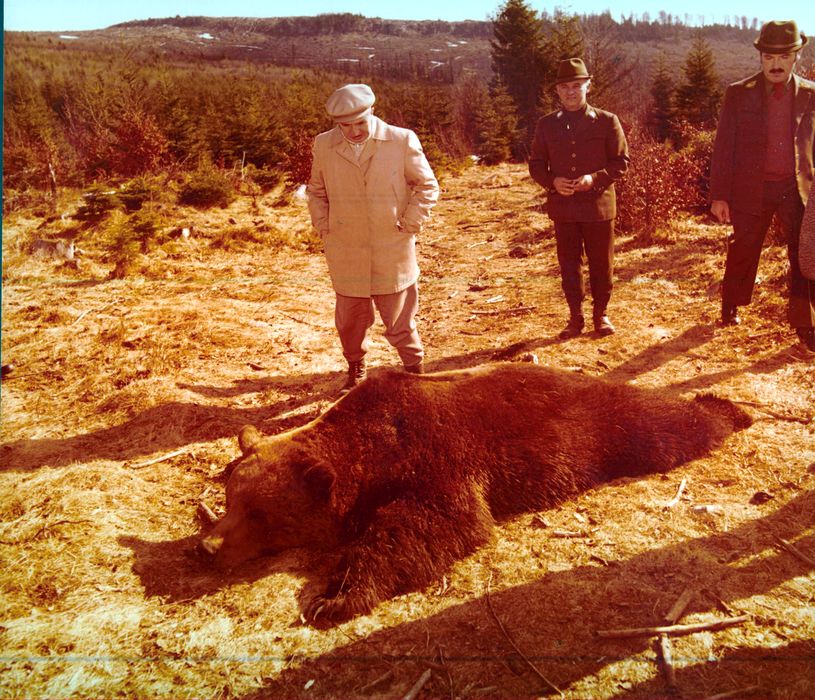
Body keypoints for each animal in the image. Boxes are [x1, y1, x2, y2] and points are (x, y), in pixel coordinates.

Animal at [200, 362, 752, 624]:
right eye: (231, 498)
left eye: (259, 514)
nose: (207, 547)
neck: (365, 448)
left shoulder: (435, 457)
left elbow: (433, 524)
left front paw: (335, 595)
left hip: (608, 422)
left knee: (668, 425)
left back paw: (727, 407)